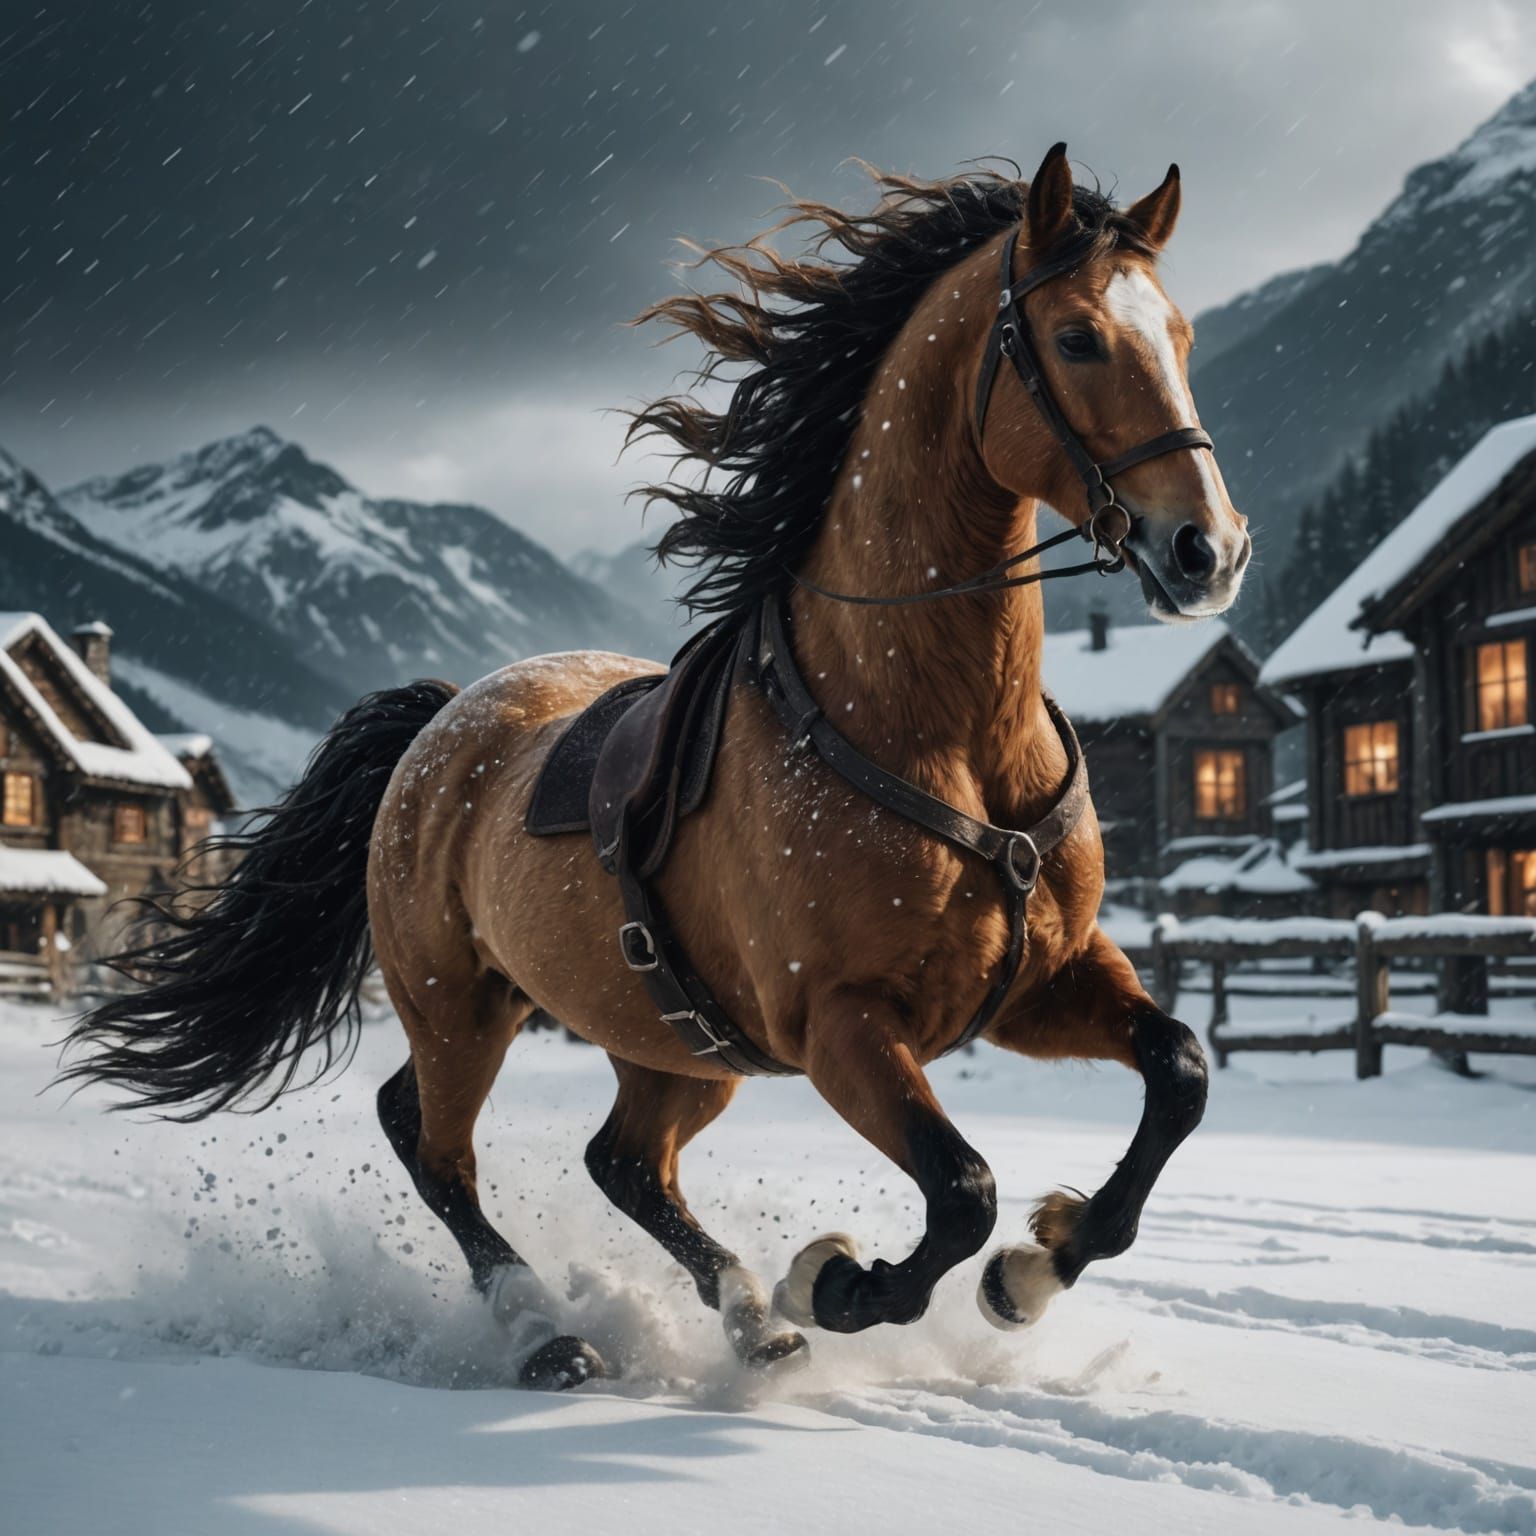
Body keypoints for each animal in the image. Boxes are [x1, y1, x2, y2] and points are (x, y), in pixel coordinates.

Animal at [63, 143, 1249, 1391]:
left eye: (1179, 335)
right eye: (1077, 338)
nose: (1207, 551)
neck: (939, 736)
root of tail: (437, 726)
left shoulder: (1041, 983)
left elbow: (1178, 1071)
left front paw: (1035, 1265)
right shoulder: (843, 1028)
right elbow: (962, 1189)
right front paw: (839, 1279)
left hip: (668, 1042)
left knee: (617, 1159)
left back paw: (747, 1320)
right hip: (457, 1006)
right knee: (435, 1146)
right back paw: (553, 1329)